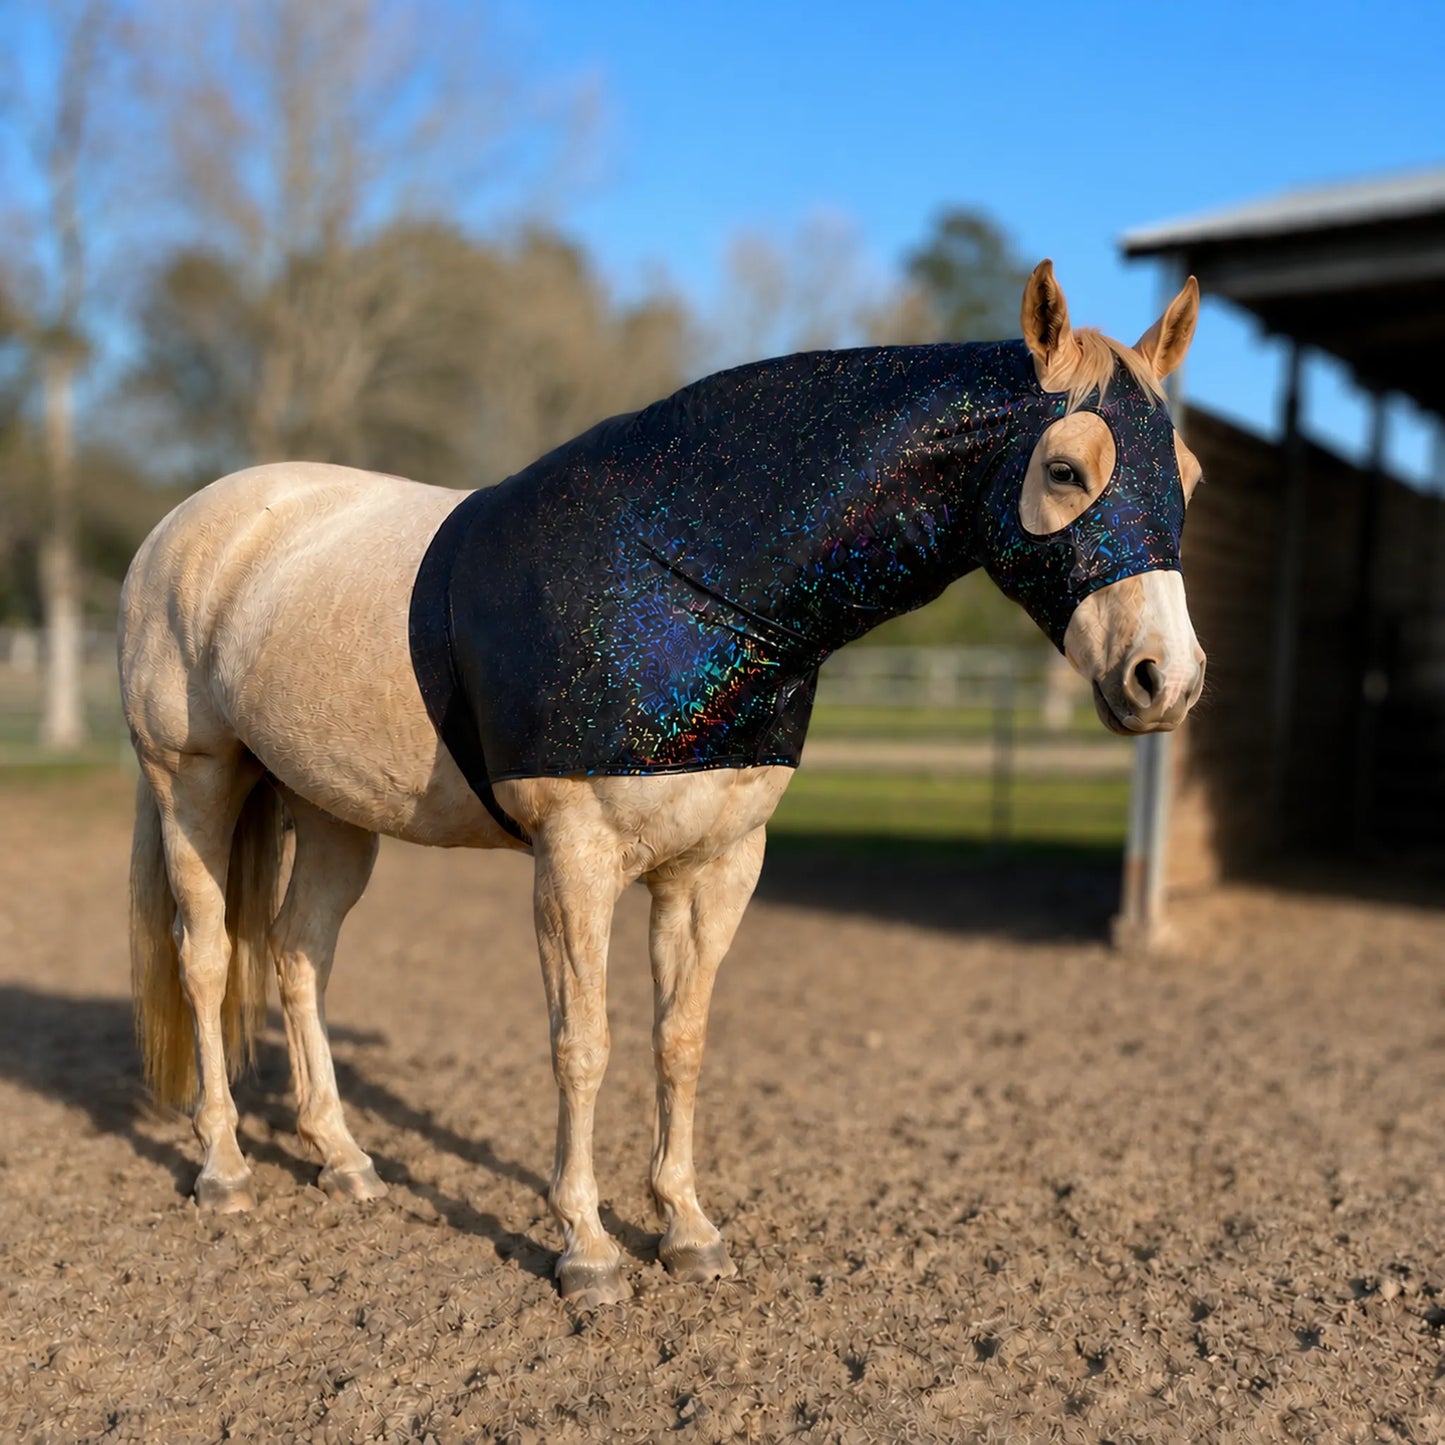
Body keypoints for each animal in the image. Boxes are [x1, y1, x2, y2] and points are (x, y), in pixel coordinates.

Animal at [120, 262, 1206, 1307]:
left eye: (1188, 477)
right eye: (1065, 470)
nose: (1166, 679)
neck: (681, 575)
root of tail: (183, 528)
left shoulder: (715, 862)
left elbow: (678, 1038)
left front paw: (684, 1228)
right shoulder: (573, 860)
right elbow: (583, 1041)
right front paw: (586, 1247)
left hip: (329, 809)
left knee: (298, 954)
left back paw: (341, 1156)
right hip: (194, 781)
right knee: (206, 956)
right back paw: (223, 1165)